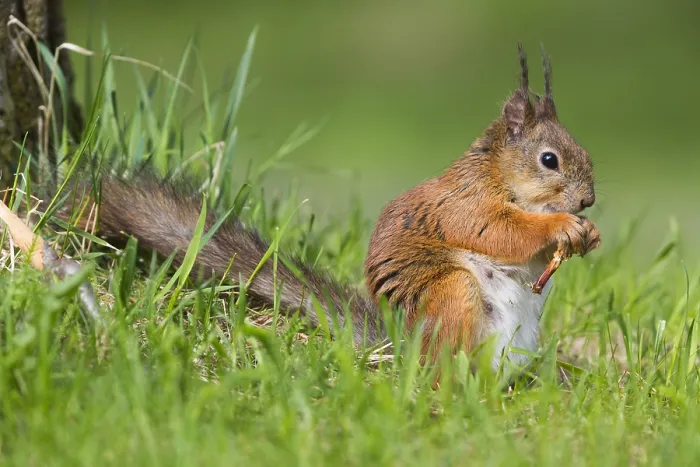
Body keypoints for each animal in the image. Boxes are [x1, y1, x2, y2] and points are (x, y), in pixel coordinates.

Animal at [45, 43, 600, 373]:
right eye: (549, 160)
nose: (589, 200)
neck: (503, 177)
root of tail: (402, 349)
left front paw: (588, 234)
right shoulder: (465, 203)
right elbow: (497, 232)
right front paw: (562, 225)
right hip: (452, 296)